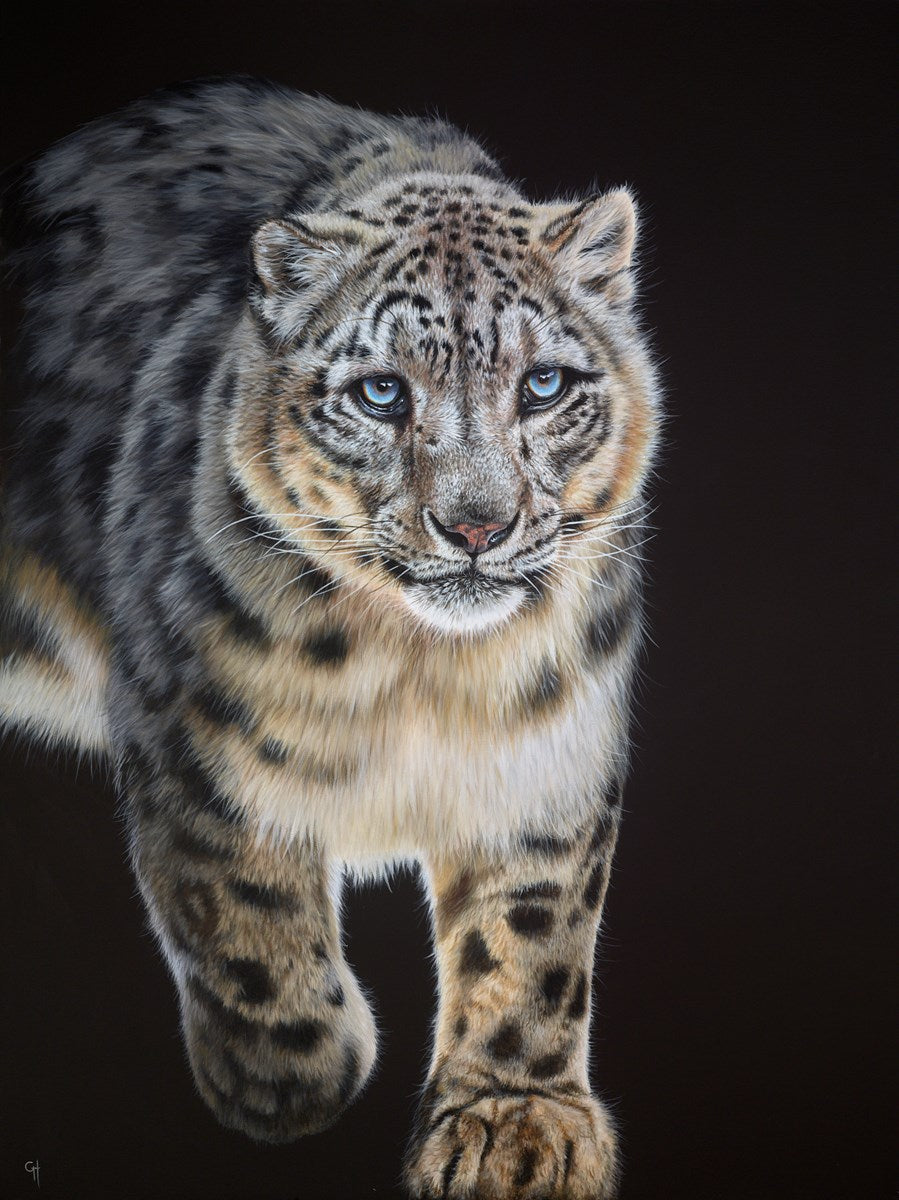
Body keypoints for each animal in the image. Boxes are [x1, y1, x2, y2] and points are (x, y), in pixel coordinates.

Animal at [0, 75, 660, 1198]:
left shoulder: (548, 755)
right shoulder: (192, 735)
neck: (426, 675)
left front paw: (512, 1123)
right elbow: (239, 905)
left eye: (542, 386)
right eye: (381, 392)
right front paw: (297, 1078)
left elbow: (533, 933)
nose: (475, 525)